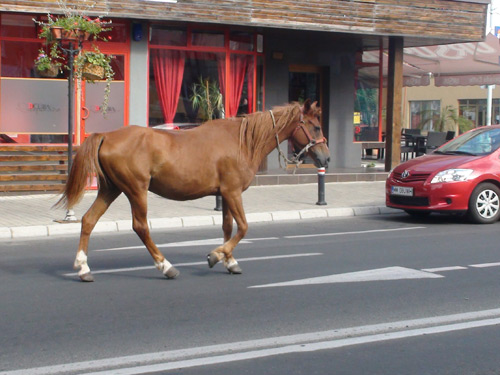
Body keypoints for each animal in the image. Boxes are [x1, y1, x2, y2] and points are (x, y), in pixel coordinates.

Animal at [57, 100, 328, 282]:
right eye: (315, 126)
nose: (326, 157)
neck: (242, 142)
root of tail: (106, 136)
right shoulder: (233, 192)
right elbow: (242, 227)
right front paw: (216, 256)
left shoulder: (225, 194)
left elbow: (228, 227)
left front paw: (230, 261)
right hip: (136, 190)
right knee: (140, 227)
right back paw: (166, 266)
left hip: (110, 190)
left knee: (88, 220)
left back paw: (84, 268)